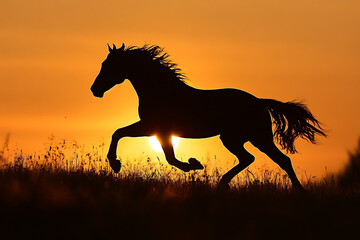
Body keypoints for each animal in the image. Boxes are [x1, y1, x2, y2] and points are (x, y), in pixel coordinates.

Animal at [90, 43, 326, 189]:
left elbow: (166, 155)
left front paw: (193, 164)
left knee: (280, 160)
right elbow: (122, 134)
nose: (95, 90)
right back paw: (222, 184)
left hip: (256, 137)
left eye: (109, 65)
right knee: (251, 158)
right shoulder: (155, 129)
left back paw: (300, 192)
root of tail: (260, 102)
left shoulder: (155, 128)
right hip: (235, 138)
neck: (161, 90)